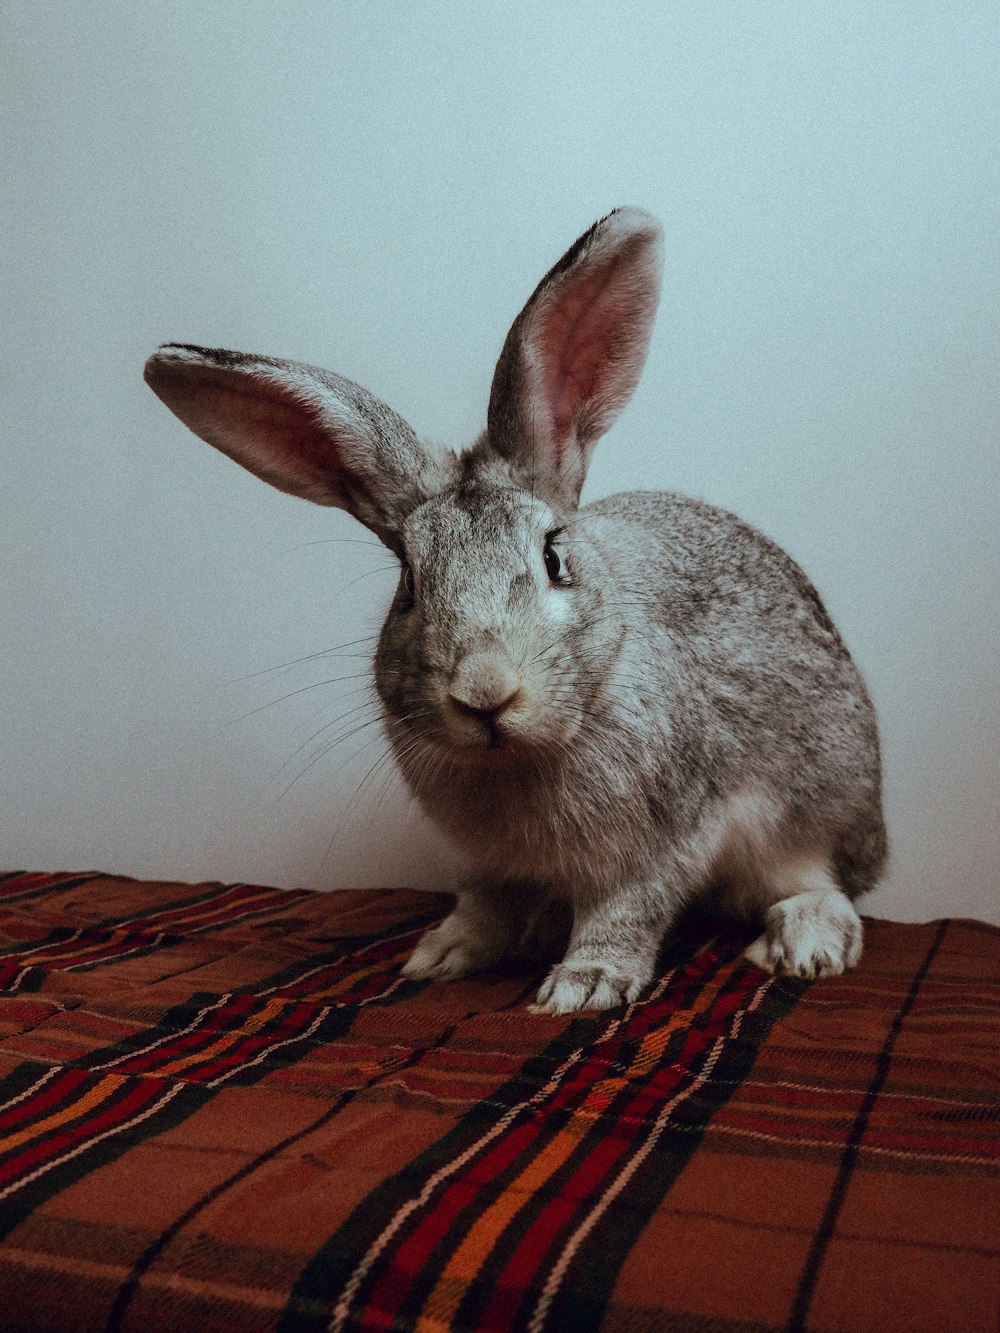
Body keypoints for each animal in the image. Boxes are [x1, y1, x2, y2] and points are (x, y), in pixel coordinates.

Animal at [144, 210, 890, 1007]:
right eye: (410, 583)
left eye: (554, 559)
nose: (485, 693)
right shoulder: (487, 865)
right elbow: (484, 906)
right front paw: (442, 955)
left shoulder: (663, 843)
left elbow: (628, 909)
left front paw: (583, 986)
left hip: (809, 813)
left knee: (821, 886)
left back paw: (803, 946)